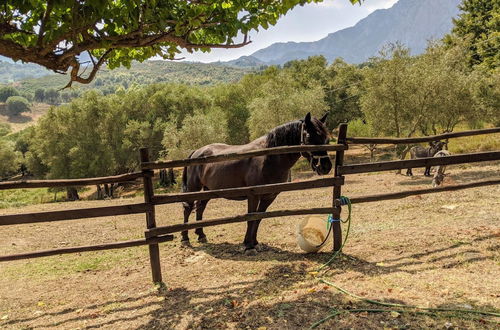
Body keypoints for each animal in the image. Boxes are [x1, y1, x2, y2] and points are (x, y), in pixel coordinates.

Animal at [180, 112, 332, 254]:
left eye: (326, 138)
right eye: (309, 137)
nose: (325, 166)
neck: (268, 158)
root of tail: (197, 151)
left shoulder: (269, 197)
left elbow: (258, 219)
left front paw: (254, 242)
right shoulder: (253, 196)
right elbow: (251, 218)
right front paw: (248, 246)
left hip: (208, 189)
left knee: (200, 208)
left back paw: (201, 235)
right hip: (194, 187)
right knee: (188, 208)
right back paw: (185, 239)